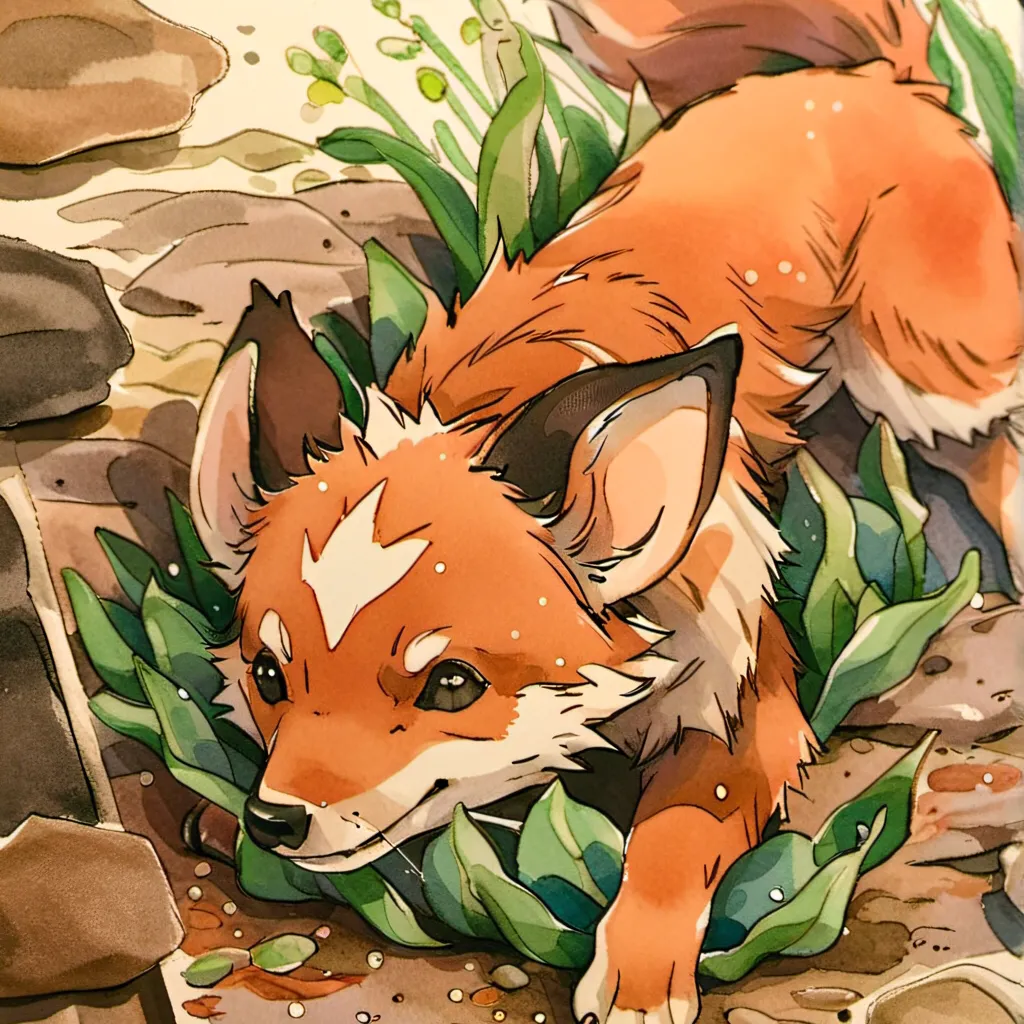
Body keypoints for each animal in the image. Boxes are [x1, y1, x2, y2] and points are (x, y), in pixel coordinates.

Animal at [186, 1, 1022, 1021]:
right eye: (269, 676)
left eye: (451, 685)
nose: (275, 818)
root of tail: (875, 78)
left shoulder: (746, 711)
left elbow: (669, 841)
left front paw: (639, 974)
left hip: (926, 367)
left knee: (995, 448)